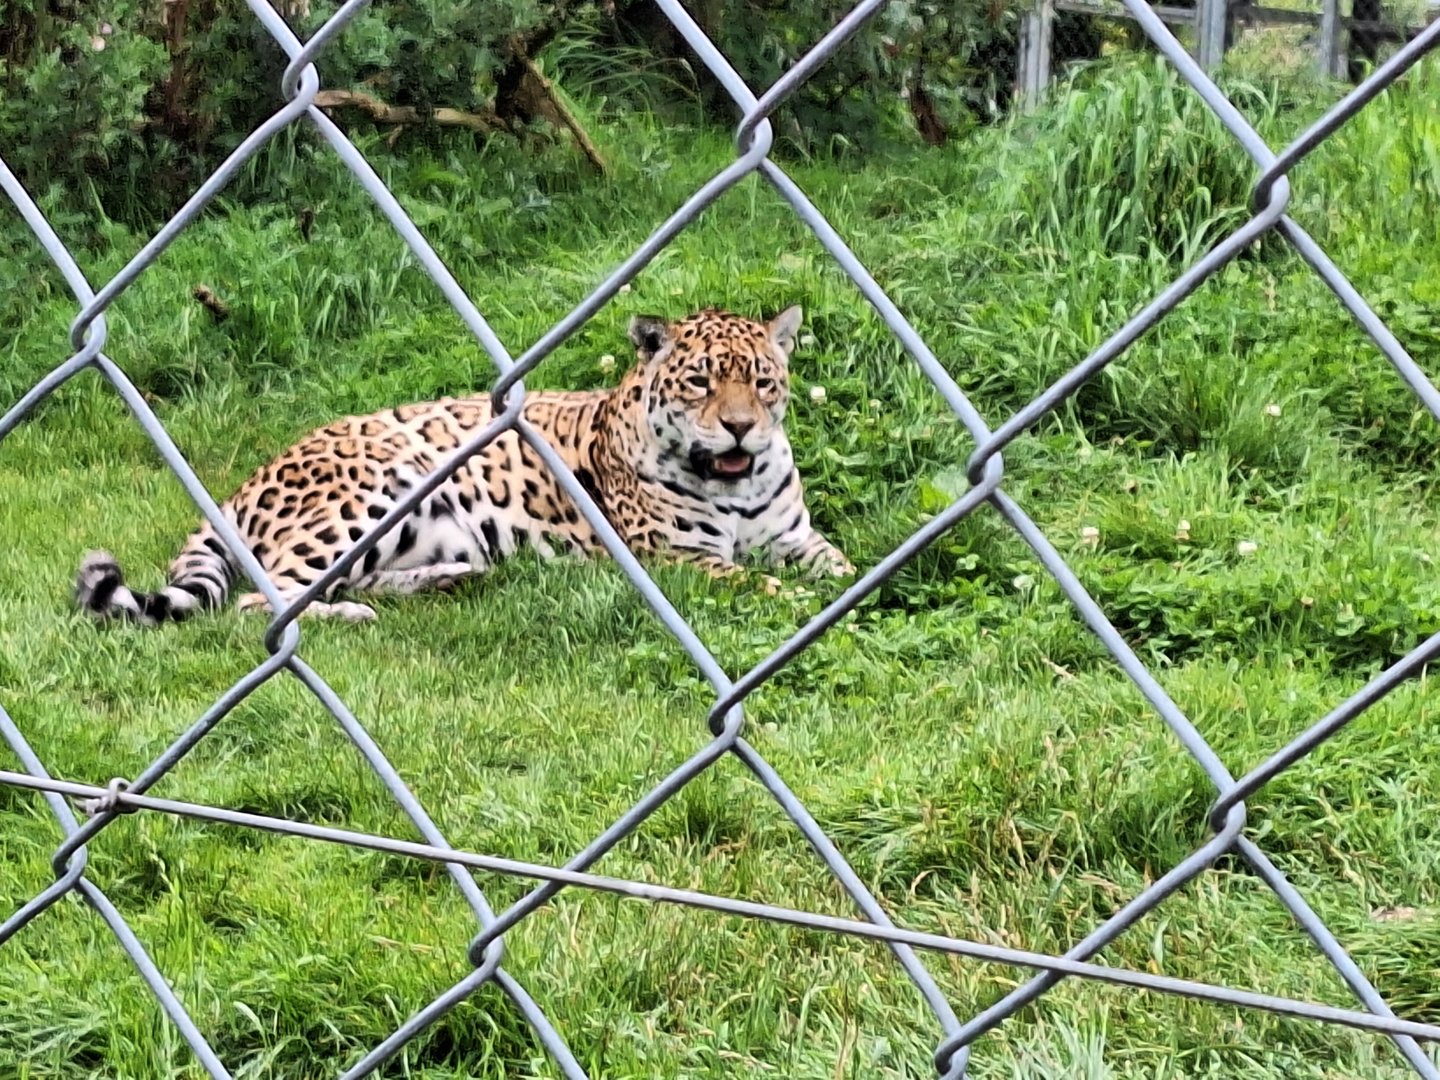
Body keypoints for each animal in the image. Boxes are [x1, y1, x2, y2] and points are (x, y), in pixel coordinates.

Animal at [74, 305, 855, 626]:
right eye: (699, 383)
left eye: (762, 382)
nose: (741, 428)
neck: (736, 487)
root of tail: (249, 481)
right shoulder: (679, 558)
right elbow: (759, 583)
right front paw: (805, 604)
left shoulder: (797, 538)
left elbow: (838, 568)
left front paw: (857, 588)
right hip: (373, 489)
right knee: (265, 597)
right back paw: (353, 614)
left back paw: (450, 579)